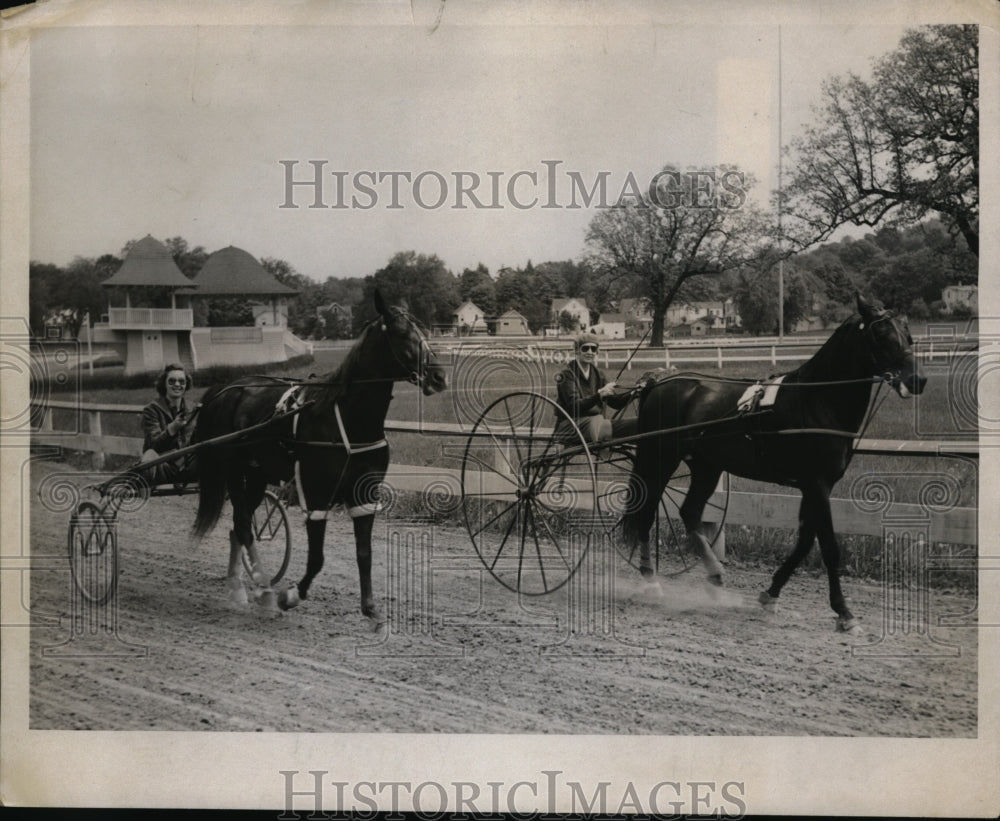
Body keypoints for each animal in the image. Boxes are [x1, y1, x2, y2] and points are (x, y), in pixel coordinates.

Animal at [189, 292, 448, 620]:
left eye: (423, 331)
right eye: (402, 333)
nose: (439, 375)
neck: (349, 420)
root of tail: (227, 389)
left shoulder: (364, 493)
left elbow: (365, 554)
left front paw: (371, 610)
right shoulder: (316, 494)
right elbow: (316, 559)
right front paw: (290, 595)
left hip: (257, 475)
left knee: (238, 526)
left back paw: (238, 588)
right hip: (234, 471)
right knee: (244, 525)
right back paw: (263, 589)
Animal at [620, 294, 924, 636]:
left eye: (908, 335)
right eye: (881, 335)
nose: (918, 380)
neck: (816, 401)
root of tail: (660, 381)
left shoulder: (813, 486)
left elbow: (804, 543)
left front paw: (771, 594)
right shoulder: (818, 484)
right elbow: (829, 547)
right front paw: (844, 612)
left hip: (706, 465)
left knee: (690, 512)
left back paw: (714, 576)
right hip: (658, 458)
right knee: (646, 513)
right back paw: (651, 580)